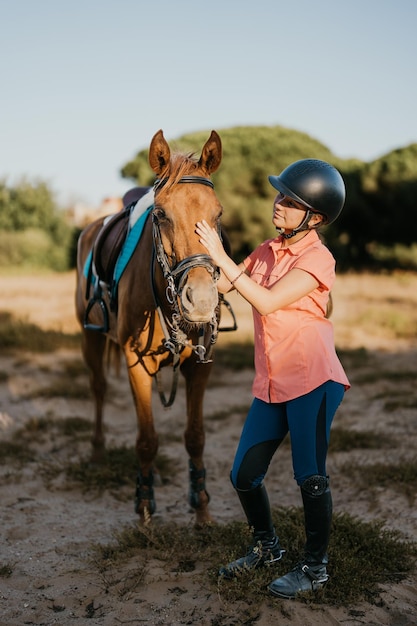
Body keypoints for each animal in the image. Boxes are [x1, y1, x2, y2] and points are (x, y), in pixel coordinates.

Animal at [75, 129, 224, 524]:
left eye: (218, 214)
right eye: (160, 214)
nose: (200, 299)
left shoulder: (200, 366)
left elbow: (196, 436)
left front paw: (201, 506)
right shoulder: (136, 364)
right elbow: (146, 440)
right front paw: (144, 504)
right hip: (89, 338)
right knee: (97, 388)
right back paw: (97, 452)